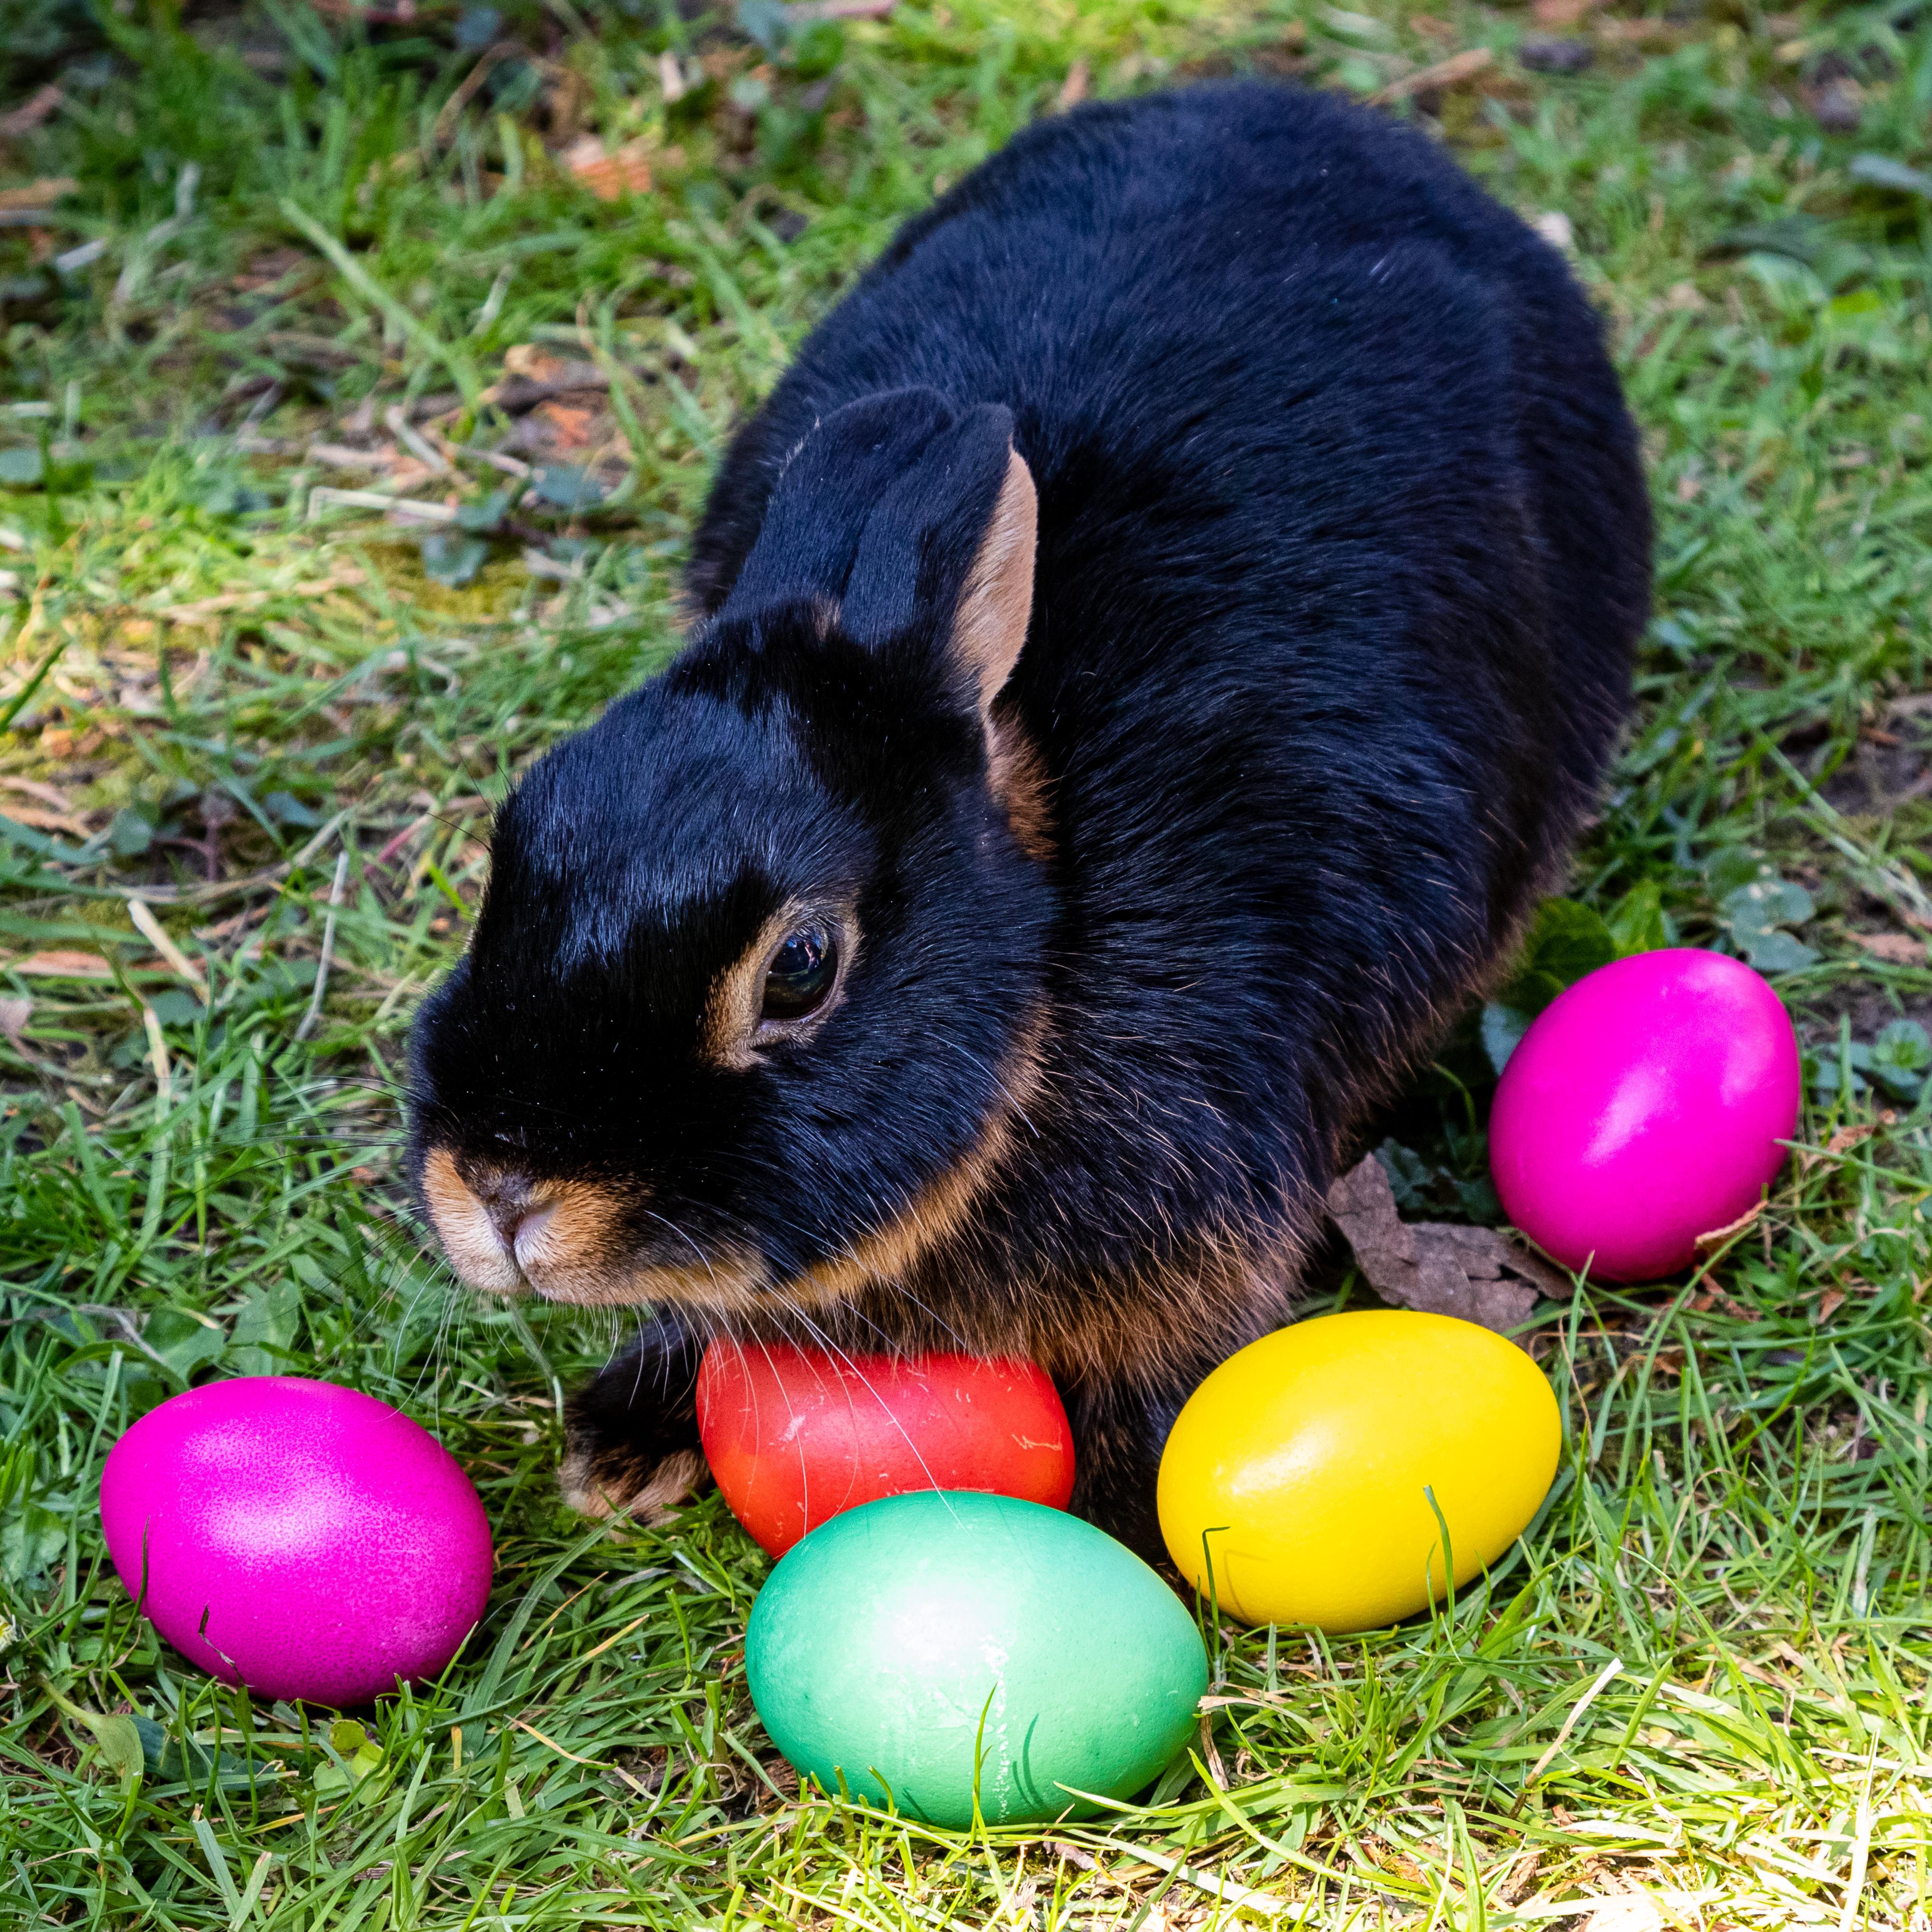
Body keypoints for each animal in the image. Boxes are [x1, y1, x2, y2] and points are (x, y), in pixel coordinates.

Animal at [408, 83, 1646, 1553]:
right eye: (516, 847)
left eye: (801, 967)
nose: (505, 1191)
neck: (1055, 942)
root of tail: (1323, 116)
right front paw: (626, 1436)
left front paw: (1126, 1534)